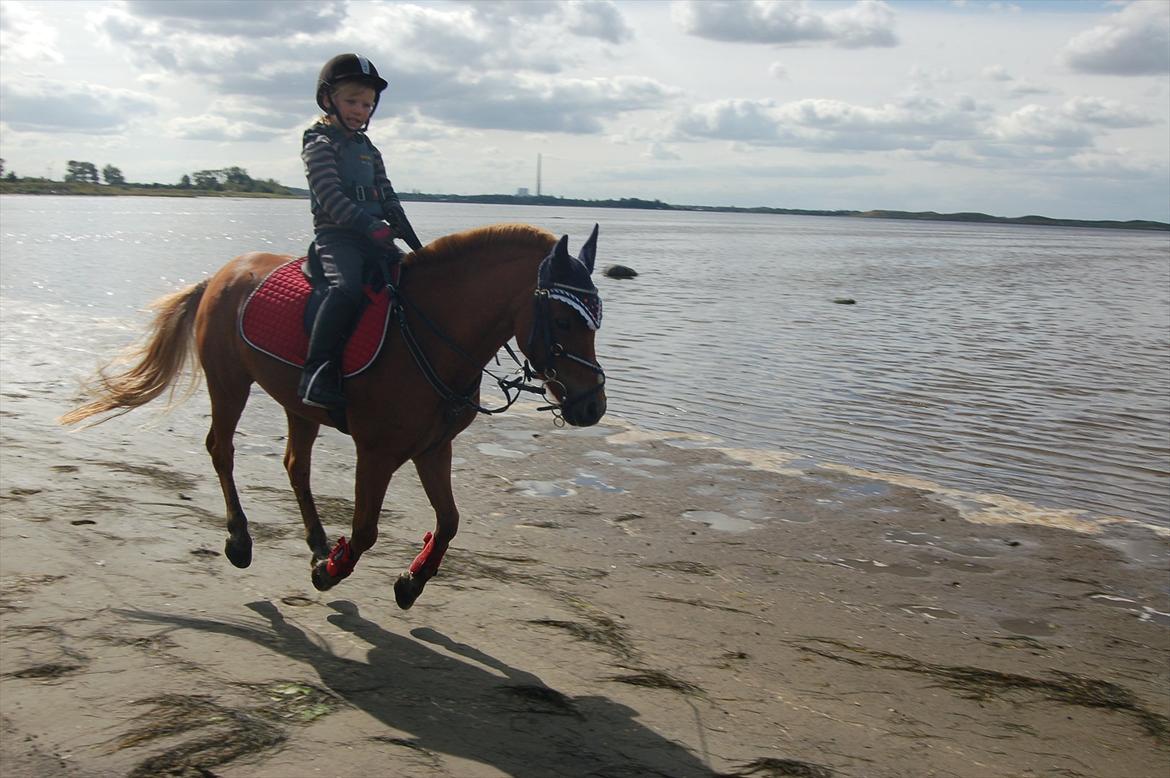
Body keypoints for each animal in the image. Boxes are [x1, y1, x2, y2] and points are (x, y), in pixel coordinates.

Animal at [61, 221, 613, 608]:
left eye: (596, 320)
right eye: (564, 319)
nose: (592, 405)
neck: (428, 337)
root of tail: (221, 274)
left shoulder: (434, 448)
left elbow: (451, 521)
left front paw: (411, 580)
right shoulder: (377, 453)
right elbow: (367, 530)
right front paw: (331, 571)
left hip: (298, 406)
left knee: (295, 467)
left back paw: (315, 540)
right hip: (229, 383)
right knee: (222, 449)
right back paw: (241, 538)